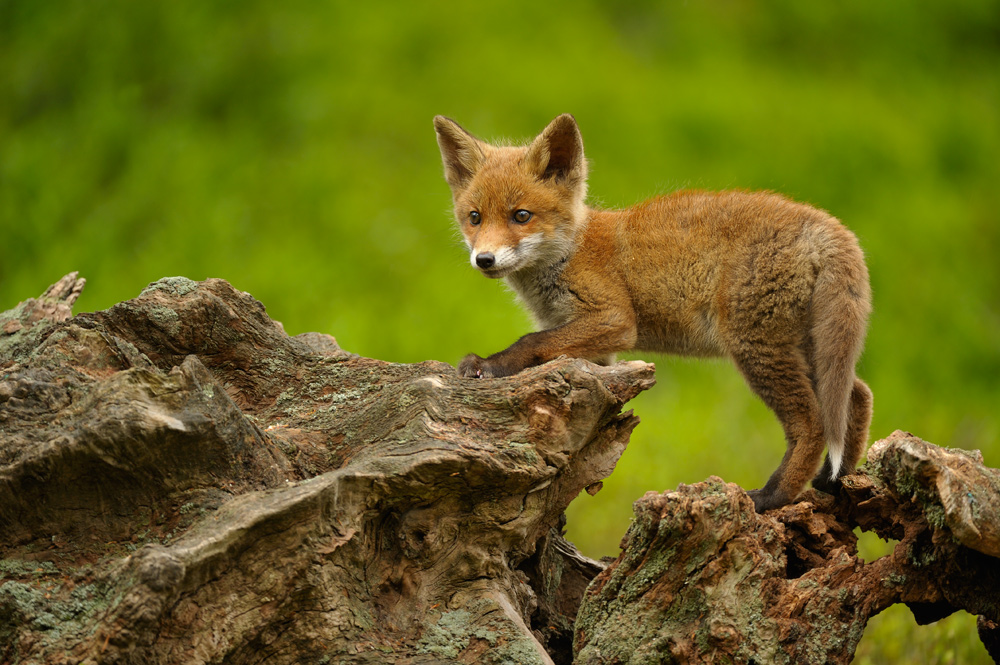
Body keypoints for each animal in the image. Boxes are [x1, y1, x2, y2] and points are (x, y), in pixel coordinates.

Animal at [433, 113, 872, 512]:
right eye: (475, 218)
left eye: (521, 216)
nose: (484, 260)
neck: (568, 253)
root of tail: (826, 223)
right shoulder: (595, 351)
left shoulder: (613, 319)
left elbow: (532, 341)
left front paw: (488, 365)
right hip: (806, 346)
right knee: (858, 395)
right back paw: (834, 481)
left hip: (757, 347)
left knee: (813, 423)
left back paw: (773, 495)